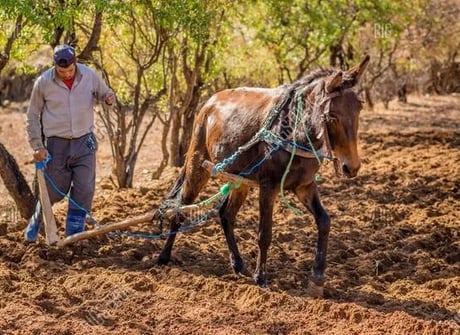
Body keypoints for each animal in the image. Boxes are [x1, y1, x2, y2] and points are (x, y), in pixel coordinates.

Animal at [158, 55, 370, 296]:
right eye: (332, 116)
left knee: (226, 215)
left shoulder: (304, 186)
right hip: (197, 168)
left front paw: (317, 279)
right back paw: (164, 257)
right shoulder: (269, 187)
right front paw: (261, 278)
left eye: (359, 108)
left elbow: (324, 221)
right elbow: (264, 233)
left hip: (240, 181)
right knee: (179, 211)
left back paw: (238, 265)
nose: (351, 167)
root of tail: (209, 103)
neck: (294, 130)